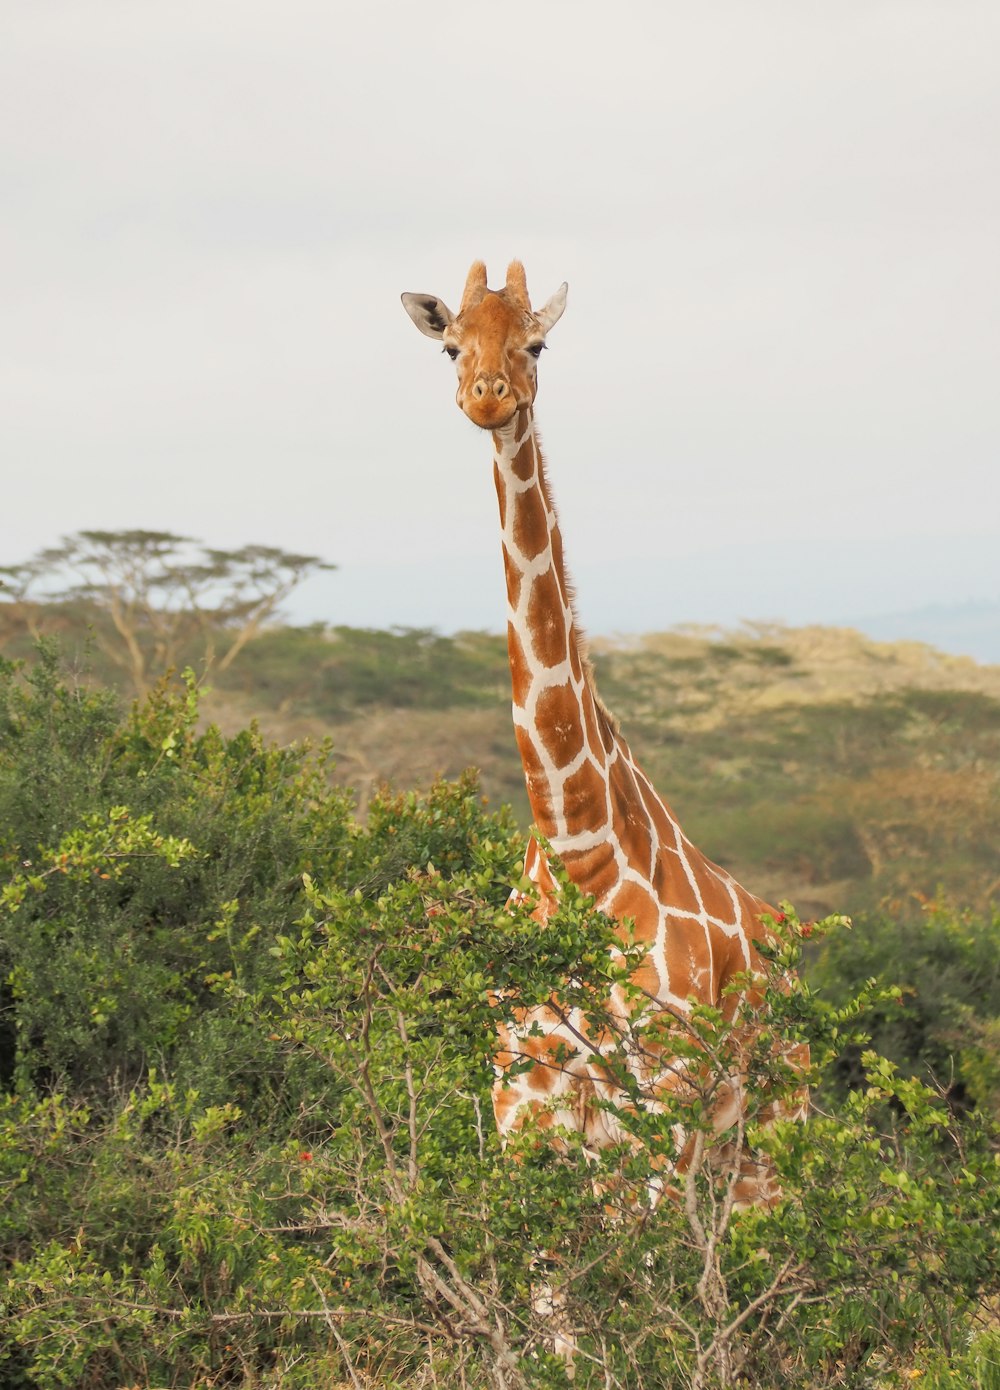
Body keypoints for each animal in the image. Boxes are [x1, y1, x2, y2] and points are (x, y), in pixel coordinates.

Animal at [403, 261, 801, 1206]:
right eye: (449, 346)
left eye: (537, 343)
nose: (488, 396)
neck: (579, 847)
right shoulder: (525, 1093)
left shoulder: (660, 1103)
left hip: (773, 1134)